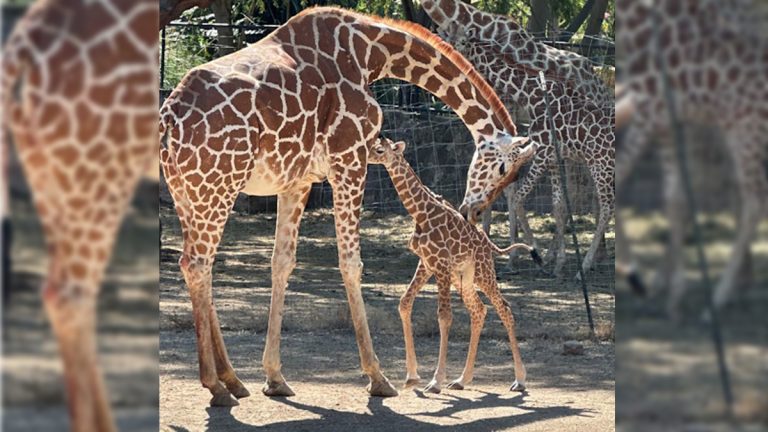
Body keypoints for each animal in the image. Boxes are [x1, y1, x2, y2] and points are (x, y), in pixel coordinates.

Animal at [368, 137, 541, 393]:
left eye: (379, 150)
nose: (363, 156)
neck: (421, 213)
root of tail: (488, 244)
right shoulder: (426, 263)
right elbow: (404, 304)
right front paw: (412, 376)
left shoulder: (440, 265)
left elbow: (444, 317)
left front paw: (435, 381)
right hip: (463, 277)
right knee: (479, 310)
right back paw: (461, 379)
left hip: (483, 272)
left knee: (505, 309)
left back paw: (519, 380)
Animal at [423, 0, 615, 277]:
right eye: (446, 38)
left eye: (462, 42)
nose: (450, 57)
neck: (530, 92)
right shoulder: (548, 153)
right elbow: (554, 203)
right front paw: (552, 260)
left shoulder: (539, 148)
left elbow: (513, 195)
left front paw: (526, 254)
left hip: (598, 163)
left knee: (604, 204)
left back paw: (587, 263)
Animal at [616, 0, 768, 314]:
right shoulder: (671, 122)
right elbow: (676, 198)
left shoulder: (654, 115)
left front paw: (646, 281)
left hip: (745, 131)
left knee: (755, 200)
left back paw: (717, 301)